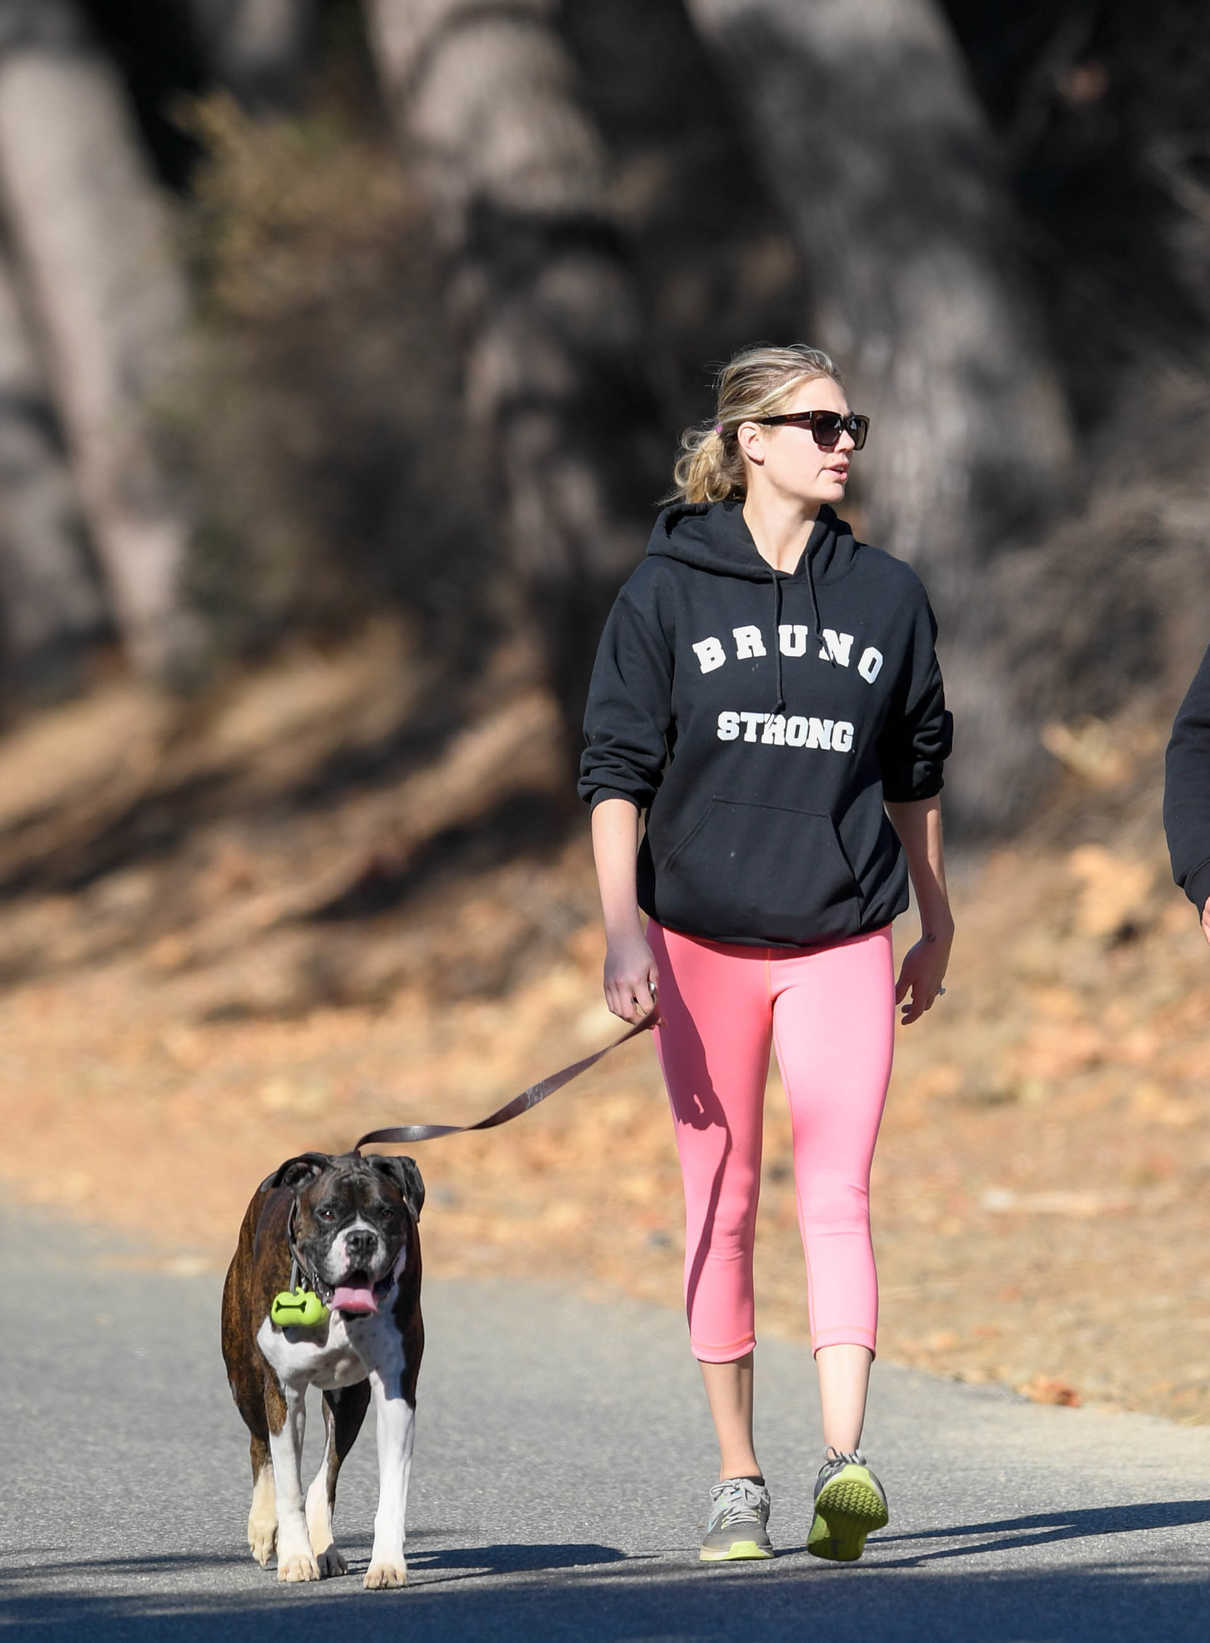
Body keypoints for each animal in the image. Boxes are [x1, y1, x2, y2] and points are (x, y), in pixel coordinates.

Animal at [220, 1150, 424, 1583]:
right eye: (328, 1213)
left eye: (386, 1212)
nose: (361, 1238)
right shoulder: (284, 1395)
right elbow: (288, 1485)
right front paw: (296, 1556)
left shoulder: (395, 1395)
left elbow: (391, 1489)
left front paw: (386, 1562)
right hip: (244, 1380)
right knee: (260, 1448)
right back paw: (264, 1528)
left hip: (349, 1402)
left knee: (325, 1476)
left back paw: (325, 1549)